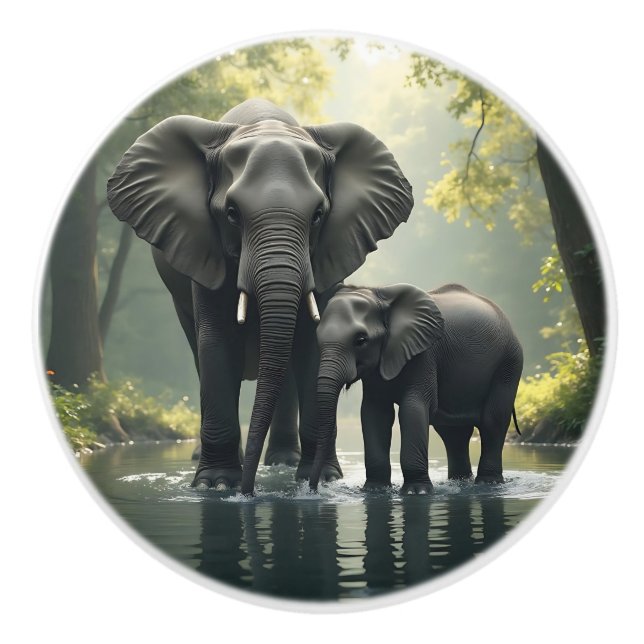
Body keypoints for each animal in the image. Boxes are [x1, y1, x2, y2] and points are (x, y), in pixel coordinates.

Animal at [107, 99, 413, 495]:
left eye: (318, 215)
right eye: (232, 214)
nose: (247, 491)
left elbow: (313, 344)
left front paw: (323, 480)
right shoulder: (205, 248)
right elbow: (217, 343)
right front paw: (217, 485)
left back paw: (283, 461)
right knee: (200, 353)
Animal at [309, 283, 523, 494]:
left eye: (361, 340)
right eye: (317, 338)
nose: (314, 489)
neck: (378, 294)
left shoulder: (424, 354)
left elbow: (412, 408)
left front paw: (416, 492)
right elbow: (374, 413)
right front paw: (374, 490)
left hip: (509, 363)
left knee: (492, 421)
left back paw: (488, 483)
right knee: (452, 432)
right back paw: (460, 482)